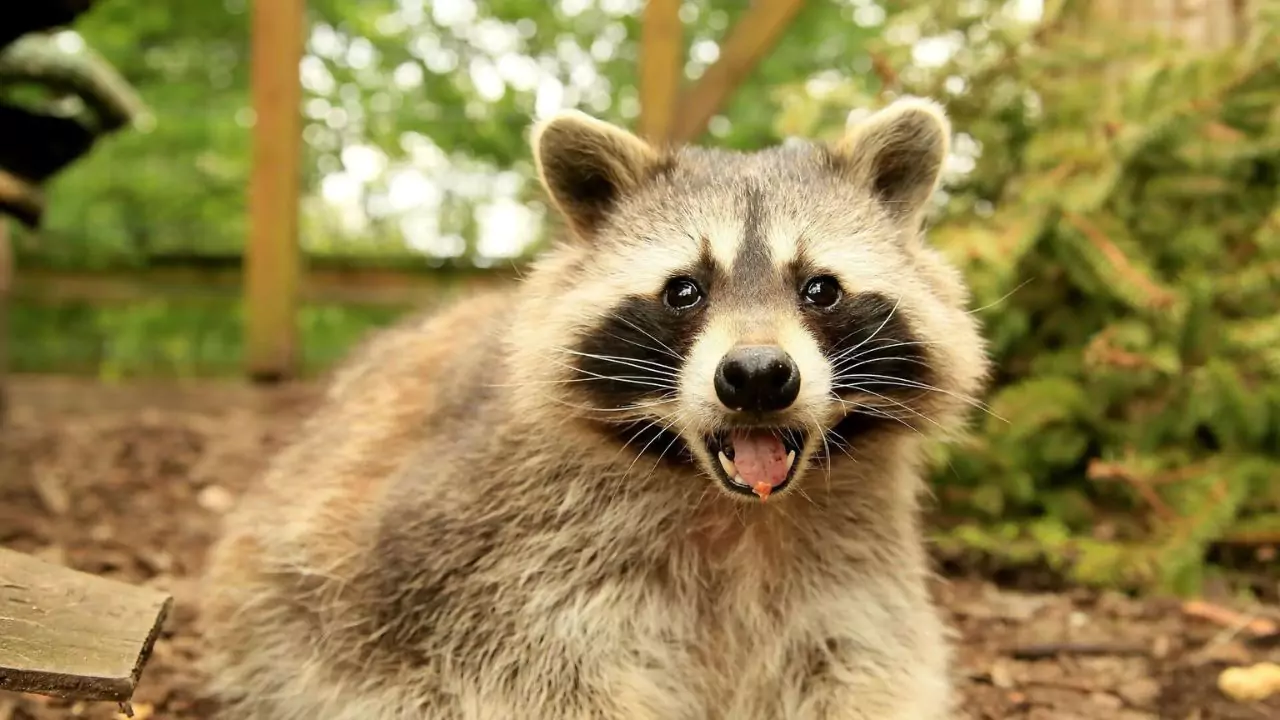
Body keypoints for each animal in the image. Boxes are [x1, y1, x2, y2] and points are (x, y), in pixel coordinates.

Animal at [199, 97, 989, 720]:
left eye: (820, 289)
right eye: (684, 290)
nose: (758, 376)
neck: (738, 511)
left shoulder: (854, 564)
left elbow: (866, 665)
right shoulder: (500, 570)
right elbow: (540, 678)